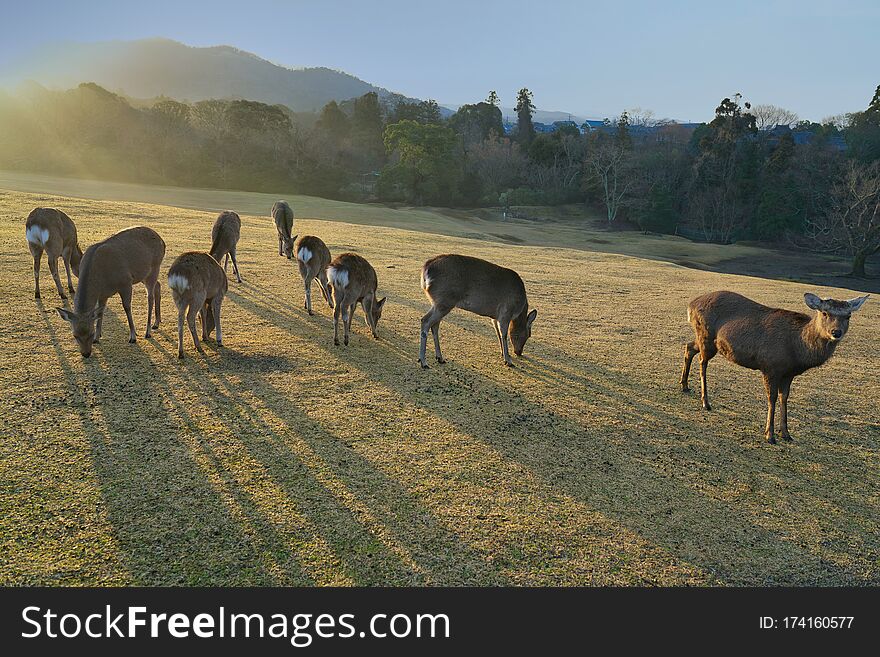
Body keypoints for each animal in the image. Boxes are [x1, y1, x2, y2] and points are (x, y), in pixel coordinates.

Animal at [56, 227, 165, 358]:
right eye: (75, 335)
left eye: (90, 332)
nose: (86, 353)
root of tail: (162, 241)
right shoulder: (103, 294)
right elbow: (100, 312)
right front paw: (98, 338)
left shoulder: (126, 282)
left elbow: (127, 307)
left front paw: (133, 337)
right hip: (144, 274)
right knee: (158, 286)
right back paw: (156, 323)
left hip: (154, 268)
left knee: (150, 297)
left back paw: (147, 331)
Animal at [680, 290, 868, 444]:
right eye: (824, 312)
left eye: (848, 316)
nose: (836, 332)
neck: (797, 350)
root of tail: (691, 305)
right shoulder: (770, 366)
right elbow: (772, 398)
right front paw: (769, 435)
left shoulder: (789, 374)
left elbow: (784, 398)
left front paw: (786, 433)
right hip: (706, 336)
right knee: (702, 362)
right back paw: (705, 402)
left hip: (706, 340)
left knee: (689, 347)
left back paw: (685, 385)